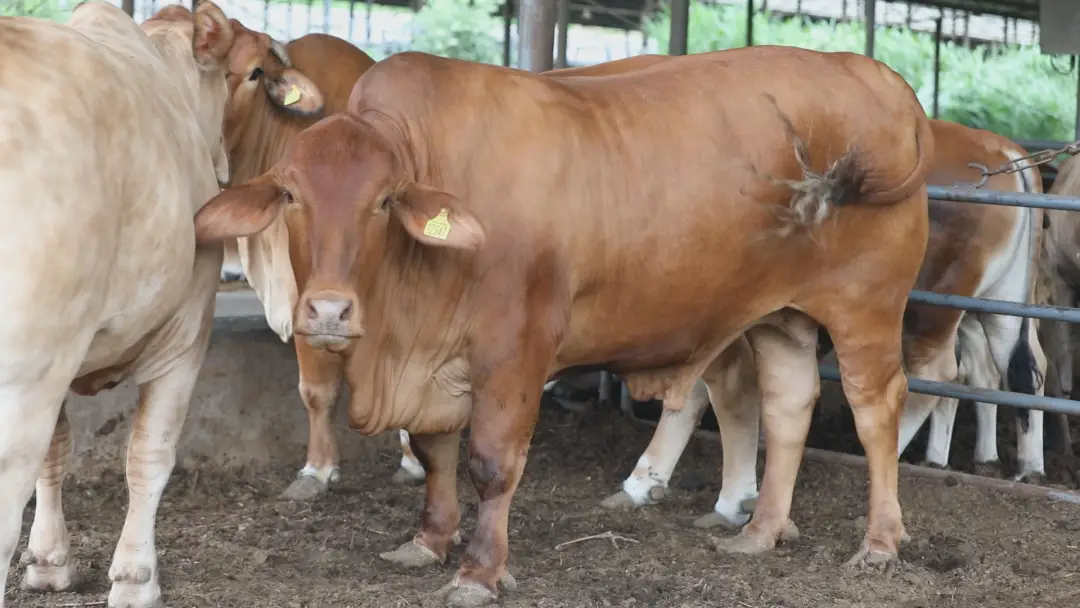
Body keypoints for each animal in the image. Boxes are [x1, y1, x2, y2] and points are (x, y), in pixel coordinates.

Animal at [0, 2, 234, 604]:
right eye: (231, 78)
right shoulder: (188, 333)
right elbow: (151, 453)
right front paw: (136, 579)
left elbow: (57, 450)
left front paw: (50, 563)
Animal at [196, 48, 937, 604]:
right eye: (291, 195)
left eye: (383, 201)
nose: (327, 310)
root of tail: (880, 76)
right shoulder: (436, 362)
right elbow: (435, 451)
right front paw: (428, 541)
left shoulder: (514, 352)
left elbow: (492, 462)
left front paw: (478, 571)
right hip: (781, 317)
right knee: (788, 406)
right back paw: (759, 530)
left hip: (866, 307)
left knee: (876, 411)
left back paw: (879, 542)